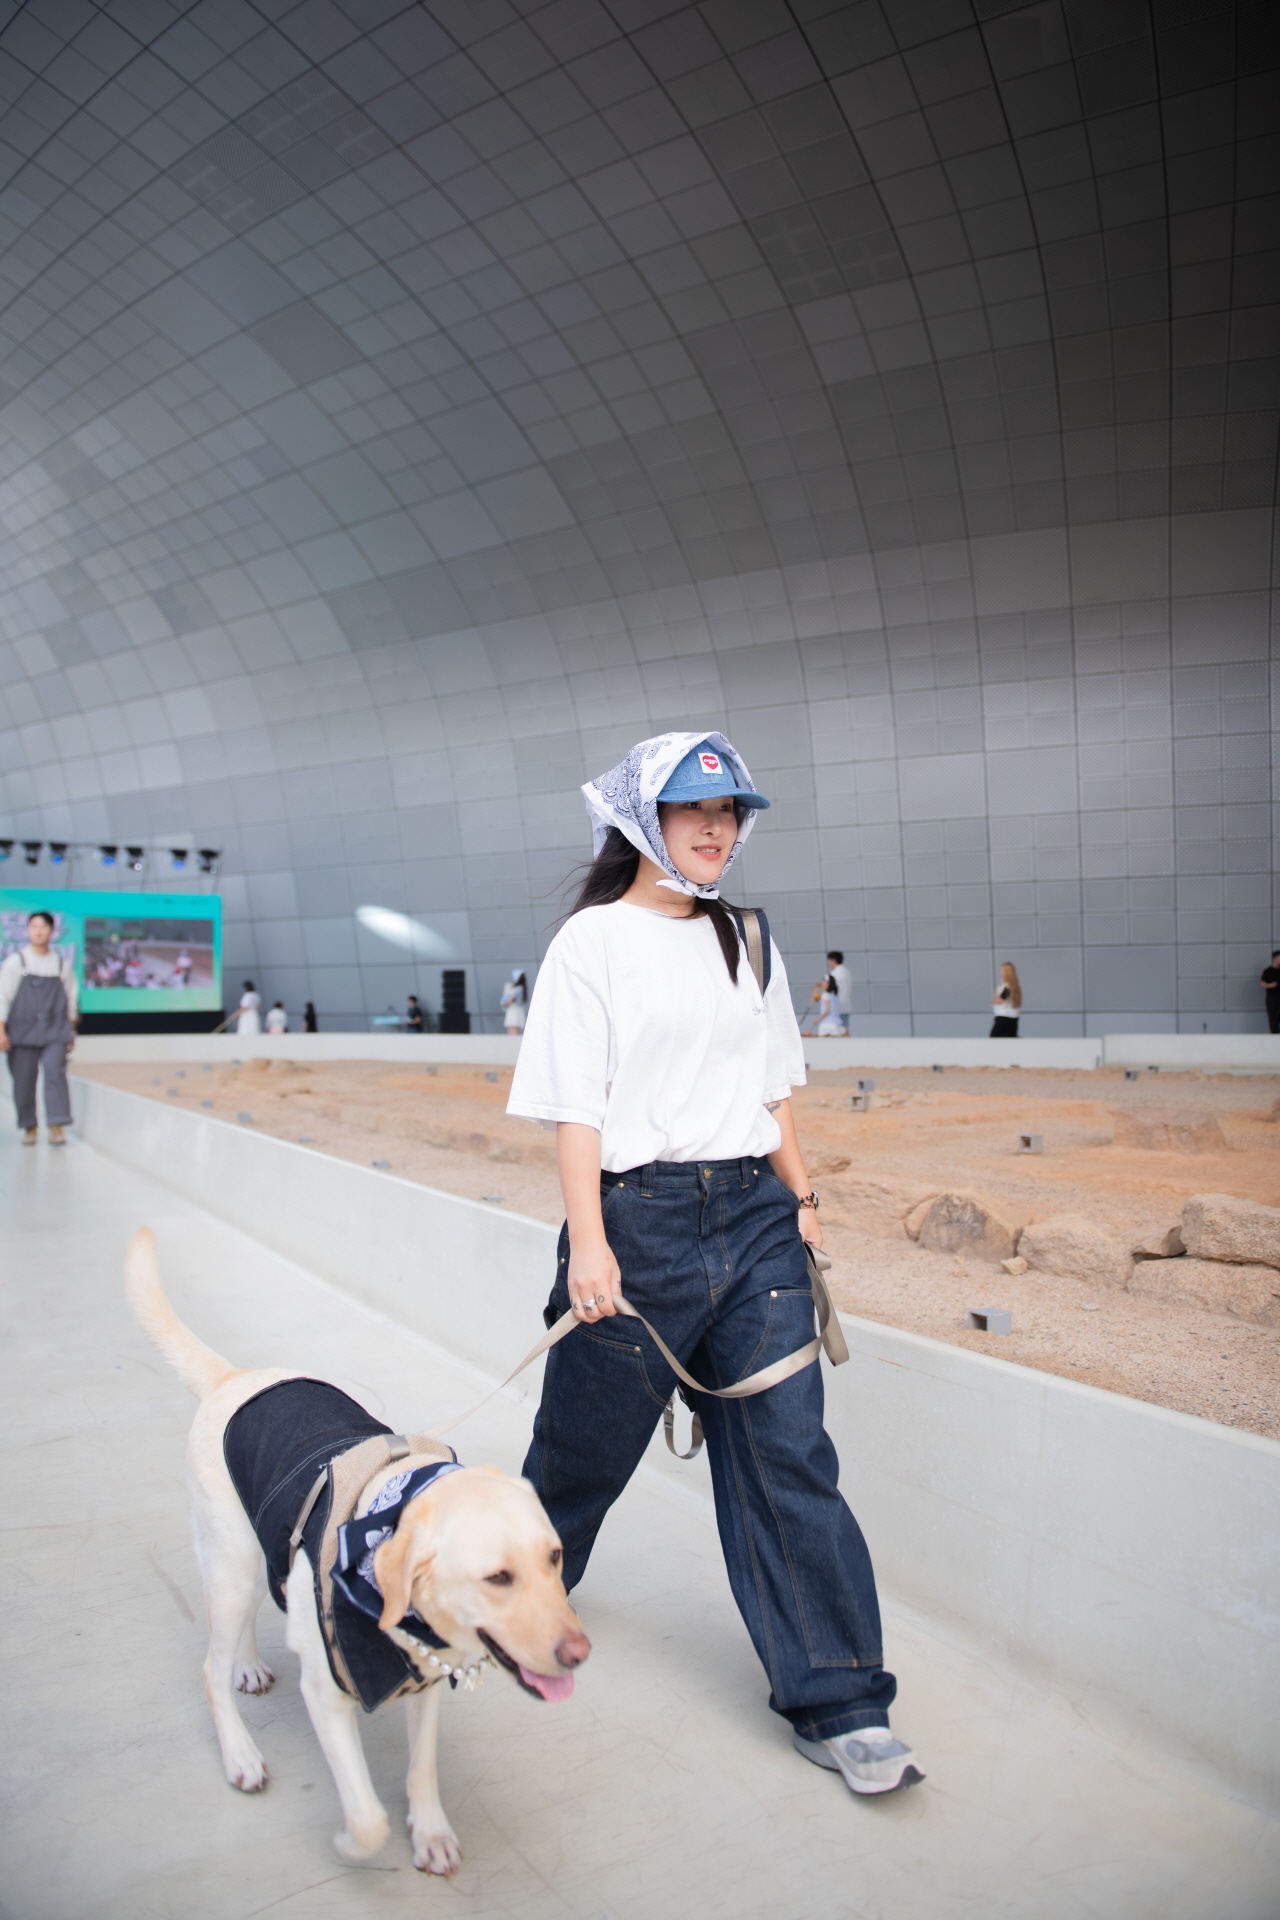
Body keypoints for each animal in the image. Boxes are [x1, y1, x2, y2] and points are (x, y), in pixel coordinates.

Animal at [125, 1228, 589, 1876]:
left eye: (554, 1559)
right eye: (498, 1577)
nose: (579, 1653)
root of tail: (235, 1377)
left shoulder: (425, 1678)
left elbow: (423, 1768)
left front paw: (431, 1832)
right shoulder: (327, 1694)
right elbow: (367, 1817)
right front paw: (352, 1842)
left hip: (259, 1557)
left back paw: (247, 1662)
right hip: (232, 1566)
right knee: (210, 1669)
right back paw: (239, 1750)